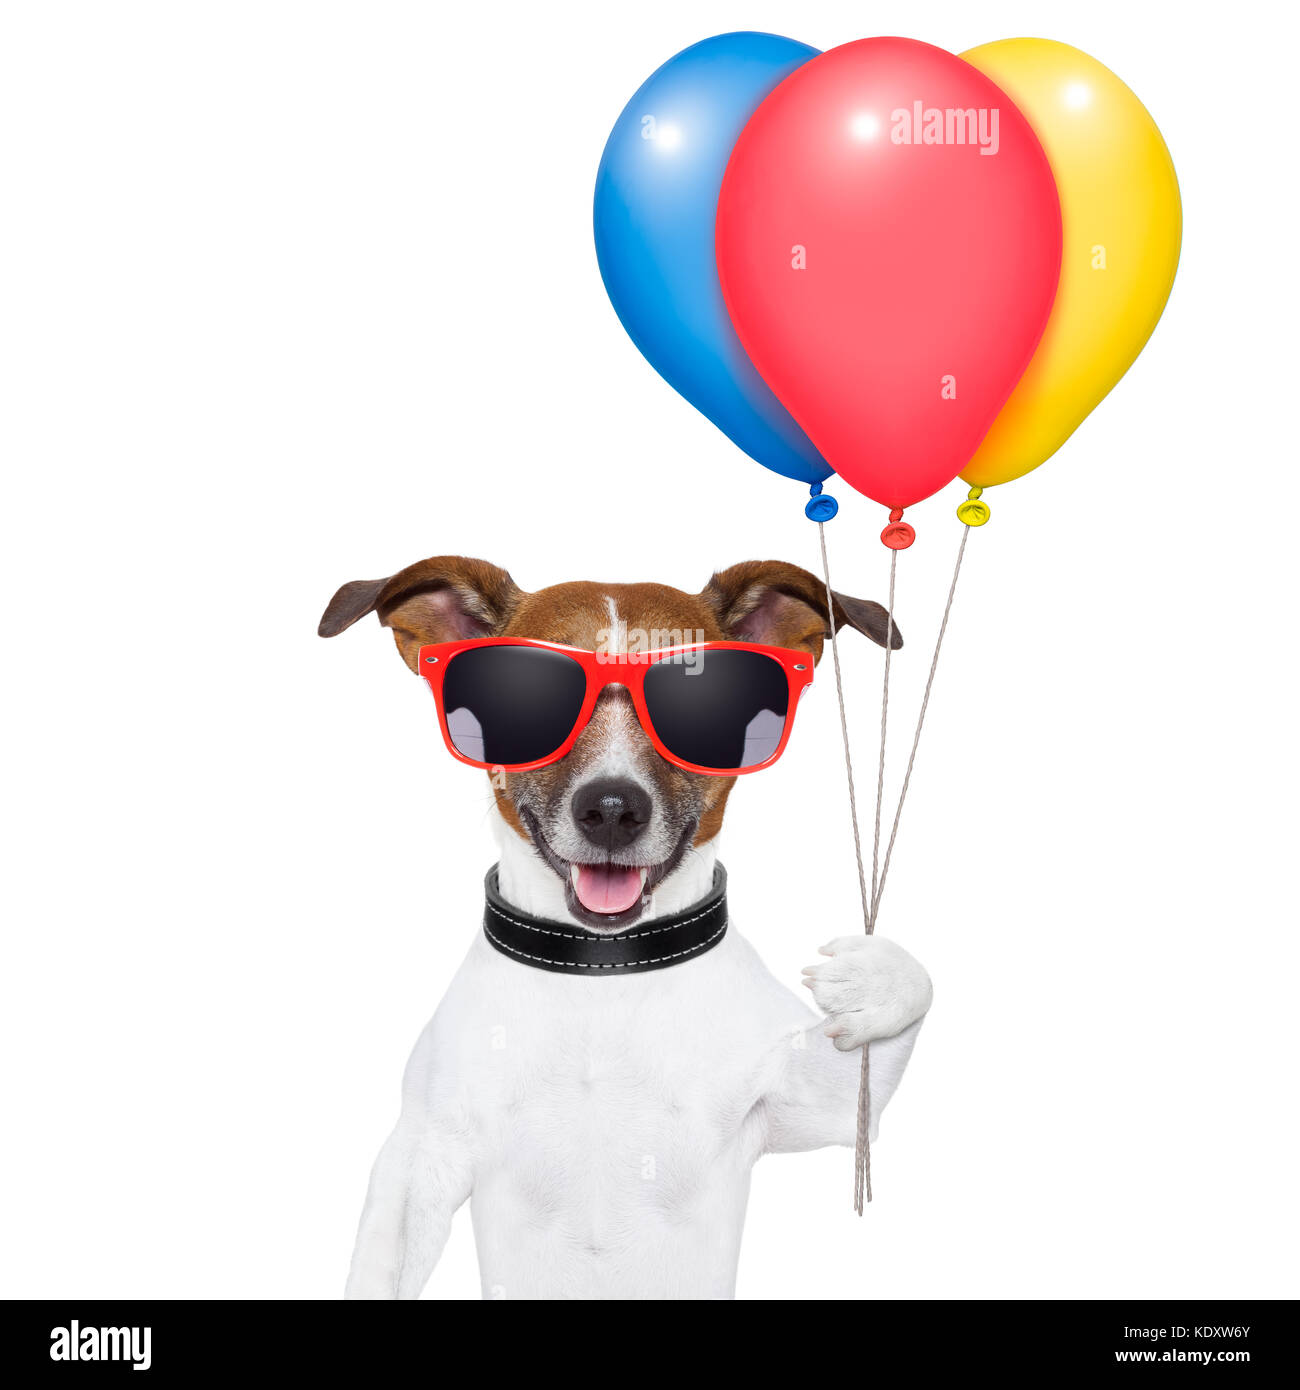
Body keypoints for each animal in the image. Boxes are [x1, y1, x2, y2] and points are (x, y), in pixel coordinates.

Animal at [323, 556, 934, 1301]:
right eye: (524, 697)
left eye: (704, 704)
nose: (612, 809)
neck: (603, 971)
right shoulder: (420, 1156)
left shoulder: (820, 1101)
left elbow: (909, 991)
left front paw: (869, 983)